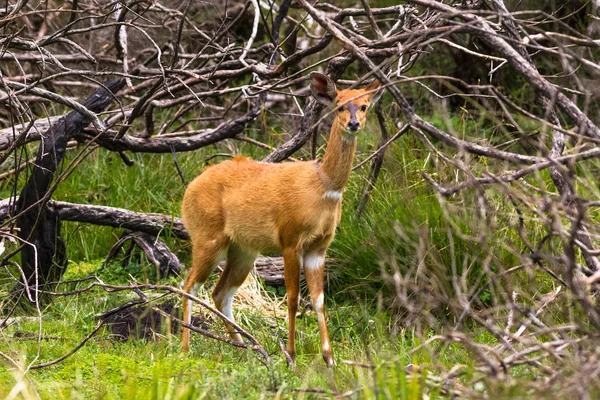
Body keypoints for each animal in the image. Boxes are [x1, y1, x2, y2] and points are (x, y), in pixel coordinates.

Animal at [180, 72, 382, 366]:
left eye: (365, 105)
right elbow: (293, 298)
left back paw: (245, 347)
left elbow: (319, 299)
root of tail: (188, 190)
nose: (354, 123)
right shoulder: (290, 238)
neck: (323, 187)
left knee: (220, 292)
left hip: (243, 249)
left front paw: (329, 359)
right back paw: (184, 347)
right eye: (340, 105)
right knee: (189, 283)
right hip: (207, 236)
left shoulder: (319, 246)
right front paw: (292, 356)